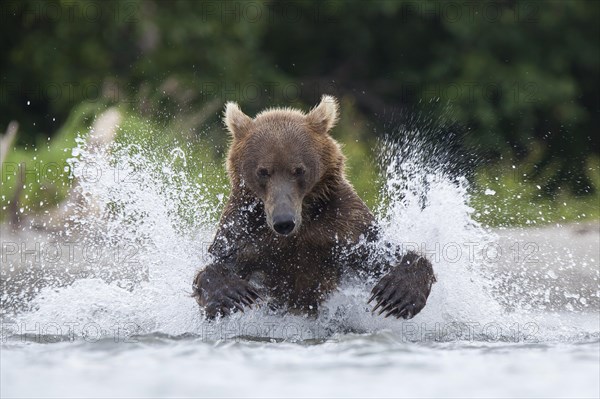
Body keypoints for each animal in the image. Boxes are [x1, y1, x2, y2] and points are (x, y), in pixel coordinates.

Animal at [195, 97, 434, 322]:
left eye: (298, 170)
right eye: (263, 171)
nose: (284, 221)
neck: (305, 217)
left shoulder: (344, 224)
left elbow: (383, 254)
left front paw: (397, 294)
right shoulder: (244, 227)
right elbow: (219, 261)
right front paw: (230, 293)